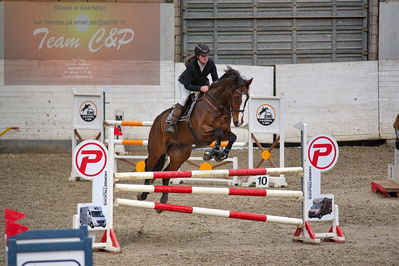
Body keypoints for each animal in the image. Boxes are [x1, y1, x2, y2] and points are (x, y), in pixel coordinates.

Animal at [138, 66, 253, 208]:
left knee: (166, 172)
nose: (238, 122)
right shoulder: (201, 132)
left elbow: (232, 137)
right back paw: (142, 193)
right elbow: (218, 133)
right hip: (156, 150)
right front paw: (212, 153)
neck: (217, 107)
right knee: (149, 166)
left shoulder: (226, 131)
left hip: (180, 154)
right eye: (236, 96)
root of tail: (158, 119)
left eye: (247, 98)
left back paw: (163, 199)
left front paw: (221, 154)